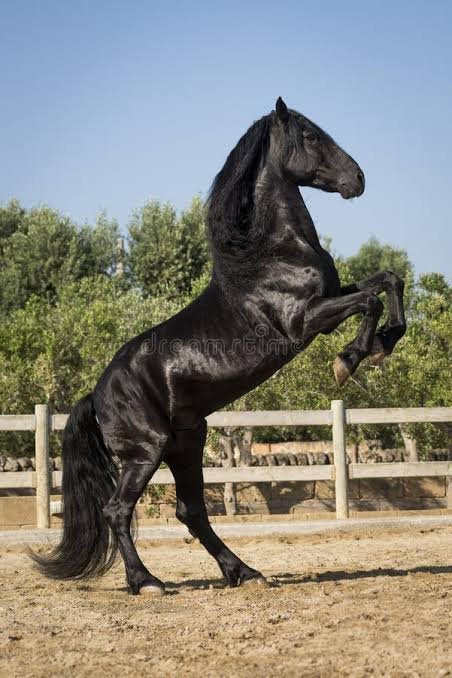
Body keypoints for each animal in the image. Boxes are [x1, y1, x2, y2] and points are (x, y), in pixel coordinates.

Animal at [31, 97, 406, 595]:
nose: (358, 179)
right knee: (118, 510)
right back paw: (147, 582)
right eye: (310, 135)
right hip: (147, 450)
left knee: (191, 512)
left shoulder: (331, 298)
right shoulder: (306, 321)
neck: (272, 253)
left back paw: (244, 572)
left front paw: (386, 342)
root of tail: (95, 394)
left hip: (186, 443)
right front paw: (349, 360)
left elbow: (388, 280)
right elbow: (369, 300)